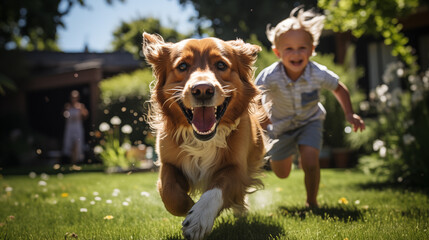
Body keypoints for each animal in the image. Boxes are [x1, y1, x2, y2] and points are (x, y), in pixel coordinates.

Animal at [142, 32, 266, 240]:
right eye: (182, 66)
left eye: (221, 65)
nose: (202, 90)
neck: (202, 139)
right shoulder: (168, 162)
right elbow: (169, 192)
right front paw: (188, 206)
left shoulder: (237, 168)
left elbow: (217, 188)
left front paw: (199, 217)